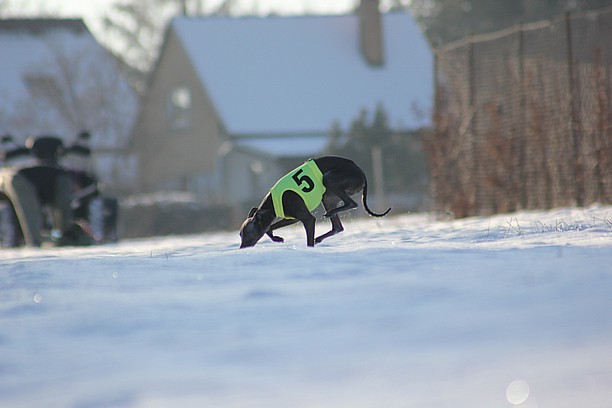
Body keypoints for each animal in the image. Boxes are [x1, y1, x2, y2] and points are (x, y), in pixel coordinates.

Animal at [237, 155, 390, 249]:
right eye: (240, 234)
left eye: (247, 234)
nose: (241, 248)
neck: (273, 203)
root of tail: (361, 171)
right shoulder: (292, 218)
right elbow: (269, 228)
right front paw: (277, 238)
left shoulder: (307, 219)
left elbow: (308, 237)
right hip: (327, 197)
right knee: (338, 227)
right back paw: (321, 235)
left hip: (329, 179)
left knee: (353, 204)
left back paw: (330, 214)